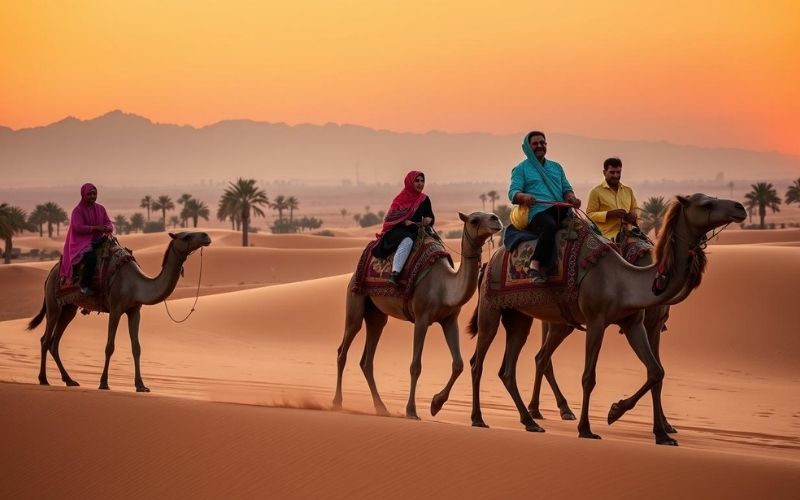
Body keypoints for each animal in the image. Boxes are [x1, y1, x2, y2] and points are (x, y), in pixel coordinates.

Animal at [27, 231, 212, 392]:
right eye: (186, 236)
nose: (206, 236)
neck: (136, 285)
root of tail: (51, 272)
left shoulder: (134, 311)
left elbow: (136, 348)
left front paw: (141, 385)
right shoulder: (115, 309)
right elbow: (110, 346)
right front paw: (103, 383)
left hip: (69, 307)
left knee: (54, 342)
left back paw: (69, 380)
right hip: (53, 303)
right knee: (45, 339)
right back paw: (44, 379)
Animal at [333, 212, 502, 419]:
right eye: (474, 220)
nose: (496, 219)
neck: (445, 286)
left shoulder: (449, 320)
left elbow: (458, 364)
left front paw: (436, 404)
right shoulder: (422, 319)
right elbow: (416, 366)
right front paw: (411, 411)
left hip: (377, 315)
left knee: (367, 360)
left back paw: (381, 407)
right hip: (355, 299)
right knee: (343, 350)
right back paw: (337, 402)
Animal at [465, 194, 745, 444]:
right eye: (706, 204)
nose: (739, 207)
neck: (623, 279)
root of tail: (490, 262)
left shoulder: (634, 323)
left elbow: (656, 371)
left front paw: (655, 430)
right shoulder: (596, 321)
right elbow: (589, 377)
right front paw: (588, 429)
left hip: (523, 317)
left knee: (513, 367)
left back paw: (531, 420)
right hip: (492, 309)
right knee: (479, 361)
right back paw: (480, 418)